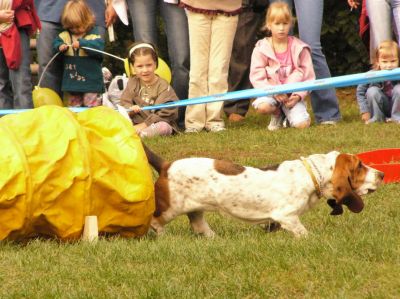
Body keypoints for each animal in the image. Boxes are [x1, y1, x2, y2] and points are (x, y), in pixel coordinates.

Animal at [144, 146, 384, 238]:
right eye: (359, 166)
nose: (382, 174)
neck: (312, 174)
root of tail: (166, 165)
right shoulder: (287, 216)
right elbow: (303, 232)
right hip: (169, 209)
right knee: (155, 222)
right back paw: (163, 237)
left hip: (196, 209)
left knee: (198, 225)